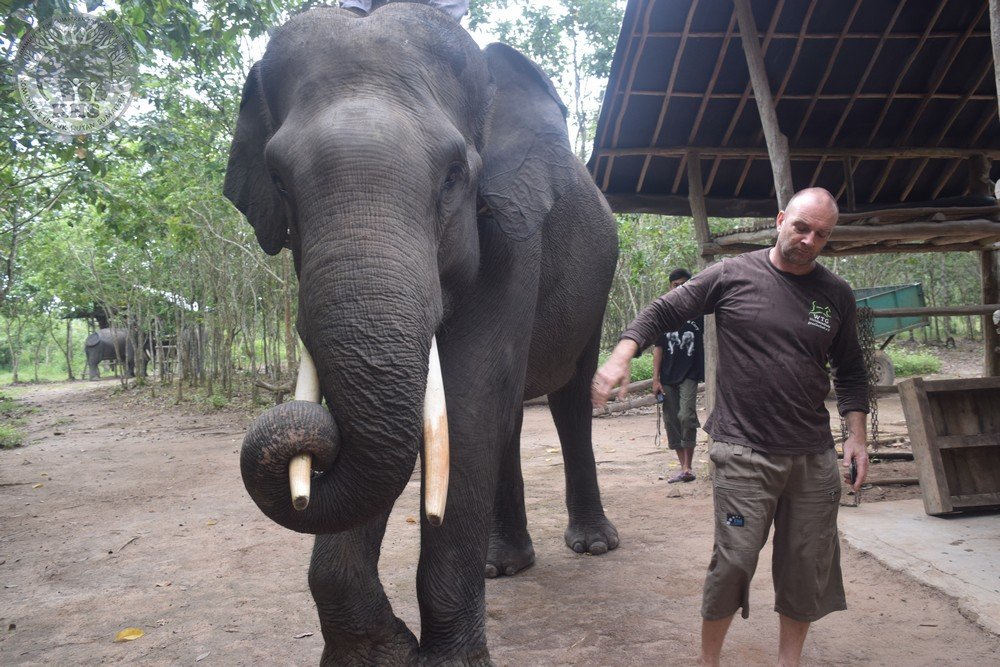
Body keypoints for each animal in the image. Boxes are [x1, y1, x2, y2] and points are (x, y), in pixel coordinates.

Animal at [225, 5, 619, 664]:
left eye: (454, 175)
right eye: (277, 180)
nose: (301, 444)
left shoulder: (513, 229)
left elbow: (467, 397)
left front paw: (443, 660)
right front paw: (379, 653)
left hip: (599, 285)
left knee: (567, 398)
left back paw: (592, 546)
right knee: (510, 417)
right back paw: (501, 566)